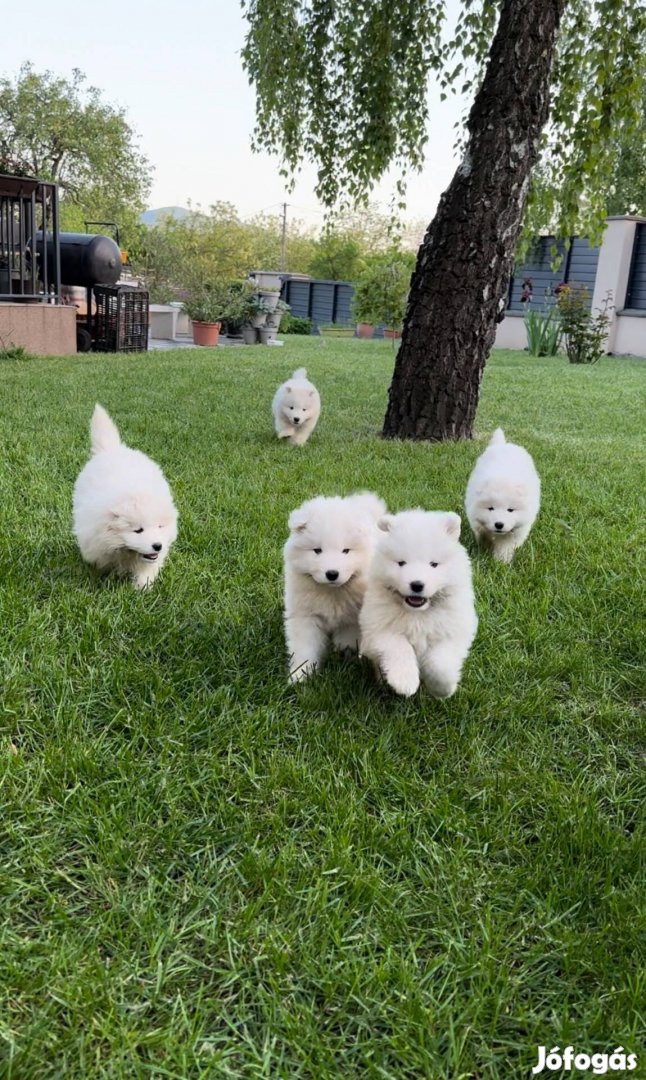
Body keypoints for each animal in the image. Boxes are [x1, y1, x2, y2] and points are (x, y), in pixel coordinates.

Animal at [72, 406, 178, 591]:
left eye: (160, 526)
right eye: (138, 530)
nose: (157, 546)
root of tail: (113, 449)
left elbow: (147, 569)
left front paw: (142, 587)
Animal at [285, 492, 386, 682]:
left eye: (345, 551)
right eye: (317, 550)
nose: (332, 574)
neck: (331, 592)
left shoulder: (352, 619)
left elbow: (347, 641)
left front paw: (347, 658)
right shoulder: (305, 615)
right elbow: (305, 646)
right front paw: (300, 675)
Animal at [362, 511, 477, 699]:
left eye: (434, 564)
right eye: (401, 563)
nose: (417, 585)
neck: (418, 614)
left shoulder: (452, 632)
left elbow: (440, 664)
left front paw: (442, 689)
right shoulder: (378, 629)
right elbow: (399, 647)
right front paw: (405, 682)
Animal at [466, 427, 542, 565]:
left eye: (510, 510)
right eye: (490, 508)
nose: (499, 524)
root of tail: (504, 445)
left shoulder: (516, 530)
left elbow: (505, 546)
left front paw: (501, 561)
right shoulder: (476, 519)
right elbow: (482, 533)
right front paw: (485, 549)